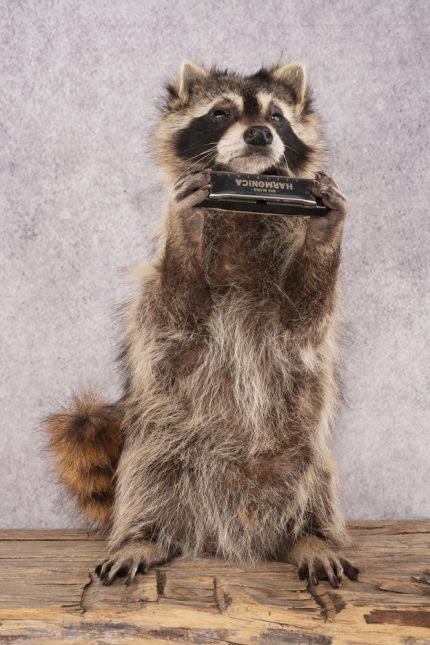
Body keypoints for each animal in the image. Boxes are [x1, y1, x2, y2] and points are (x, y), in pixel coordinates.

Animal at [45, 61, 359, 588]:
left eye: (277, 116)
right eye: (219, 113)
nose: (259, 133)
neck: (245, 209)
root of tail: (227, 531)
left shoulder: (297, 310)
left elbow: (306, 314)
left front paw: (325, 225)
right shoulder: (161, 301)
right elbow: (179, 302)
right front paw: (186, 225)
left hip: (300, 453)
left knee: (314, 482)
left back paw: (309, 536)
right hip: (162, 444)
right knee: (146, 479)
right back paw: (143, 536)